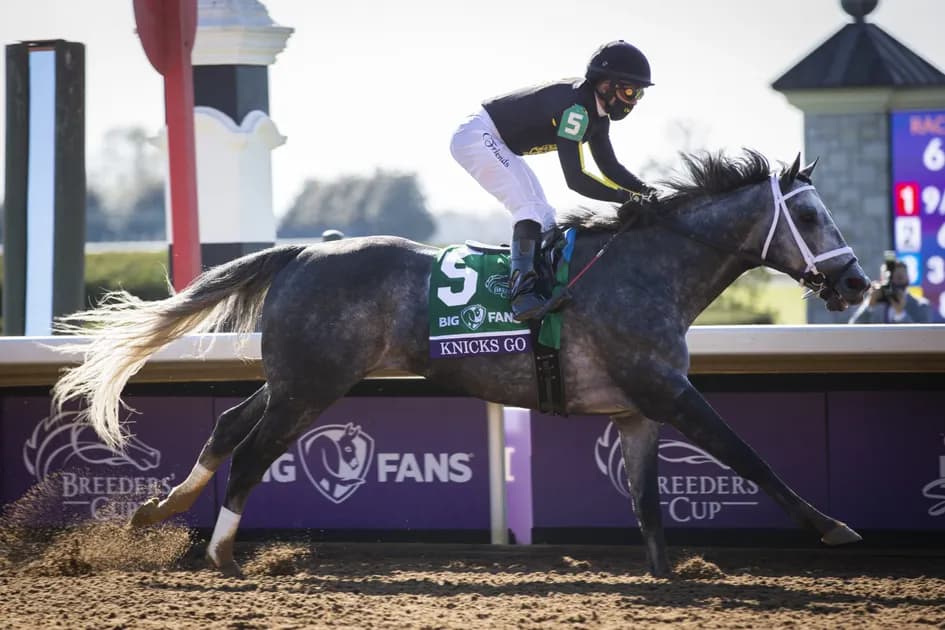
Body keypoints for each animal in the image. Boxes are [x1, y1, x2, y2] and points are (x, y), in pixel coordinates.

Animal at [51, 150, 870, 577]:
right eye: (806, 215)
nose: (857, 283)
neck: (648, 269)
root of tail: (304, 251)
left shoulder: (636, 411)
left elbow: (646, 502)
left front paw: (666, 577)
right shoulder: (668, 392)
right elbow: (750, 456)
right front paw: (834, 529)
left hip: (298, 379)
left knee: (228, 425)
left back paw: (159, 511)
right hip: (312, 387)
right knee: (251, 450)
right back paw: (222, 551)